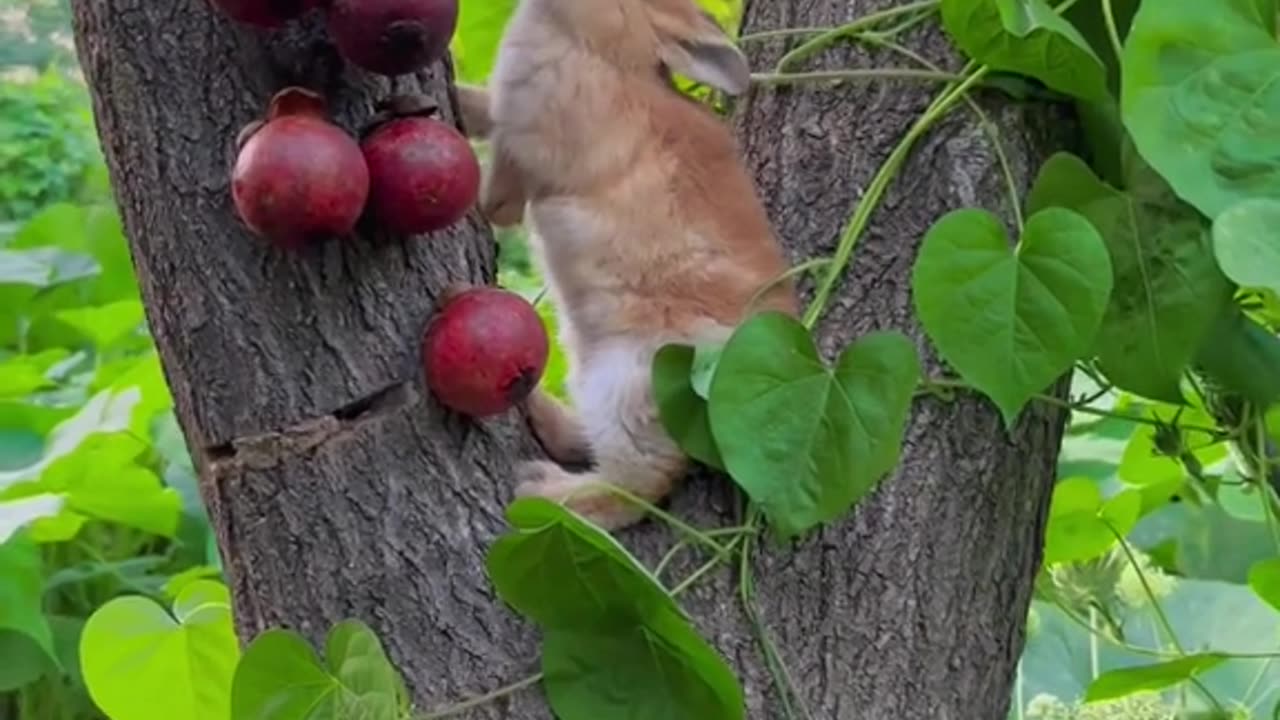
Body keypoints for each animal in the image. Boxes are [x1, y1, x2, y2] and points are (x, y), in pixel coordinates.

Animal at [465, 0, 793, 527]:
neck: (610, 53)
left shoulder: (527, 142)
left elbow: (500, 196)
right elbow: (480, 109)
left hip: (627, 387)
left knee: (637, 486)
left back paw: (539, 491)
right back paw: (538, 411)